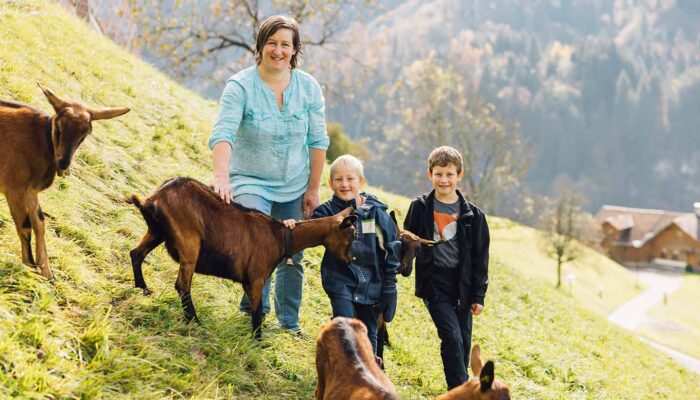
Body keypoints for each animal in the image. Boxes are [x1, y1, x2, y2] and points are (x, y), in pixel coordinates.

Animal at [0, 84, 130, 278]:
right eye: (59, 127)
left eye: (85, 133)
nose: (64, 163)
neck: (41, 141)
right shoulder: (14, 188)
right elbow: (25, 226)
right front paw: (29, 265)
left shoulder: (29, 192)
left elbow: (40, 222)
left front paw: (46, 271)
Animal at [127, 177, 356, 336]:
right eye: (351, 235)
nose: (350, 260)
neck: (281, 236)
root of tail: (154, 198)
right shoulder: (256, 278)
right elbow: (256, 312)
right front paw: (258, 341)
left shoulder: (249, 281)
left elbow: (256, 312)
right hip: (189, 242)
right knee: (182, 284)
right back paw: (194, 320)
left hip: (157, 230)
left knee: (136, 254)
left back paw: (143, 289)